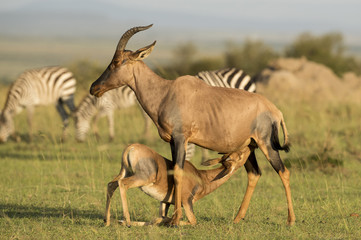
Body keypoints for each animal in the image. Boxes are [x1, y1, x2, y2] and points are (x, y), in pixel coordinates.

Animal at [90, 25, 296, 226]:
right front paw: (168, 216)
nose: (94, 88)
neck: (167, 92)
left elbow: (179, 172)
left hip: (266, 144)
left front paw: (175, 219)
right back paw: (237, 218)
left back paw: (290, 220)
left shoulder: (181, 138)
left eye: (117, 61)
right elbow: (172, 170)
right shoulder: (171, 141)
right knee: (254, 174)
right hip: (249, 146)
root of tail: (276, 111)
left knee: (283, 172)